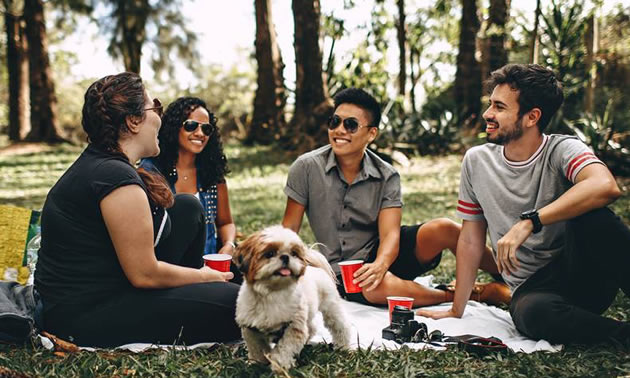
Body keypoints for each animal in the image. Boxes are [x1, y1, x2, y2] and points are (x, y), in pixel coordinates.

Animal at [235, 224, 354, 372]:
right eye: (269, 254)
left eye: (294, 254)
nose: (285, 257)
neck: (272, 293)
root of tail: (315, 268)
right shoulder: (250, 328)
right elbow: (257, 347)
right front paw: (257, 363)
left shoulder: (294, 326)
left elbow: (285, 348)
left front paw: (279, 365)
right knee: (311, 328)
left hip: (331, 307)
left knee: (340, 327)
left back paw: (343, 347)